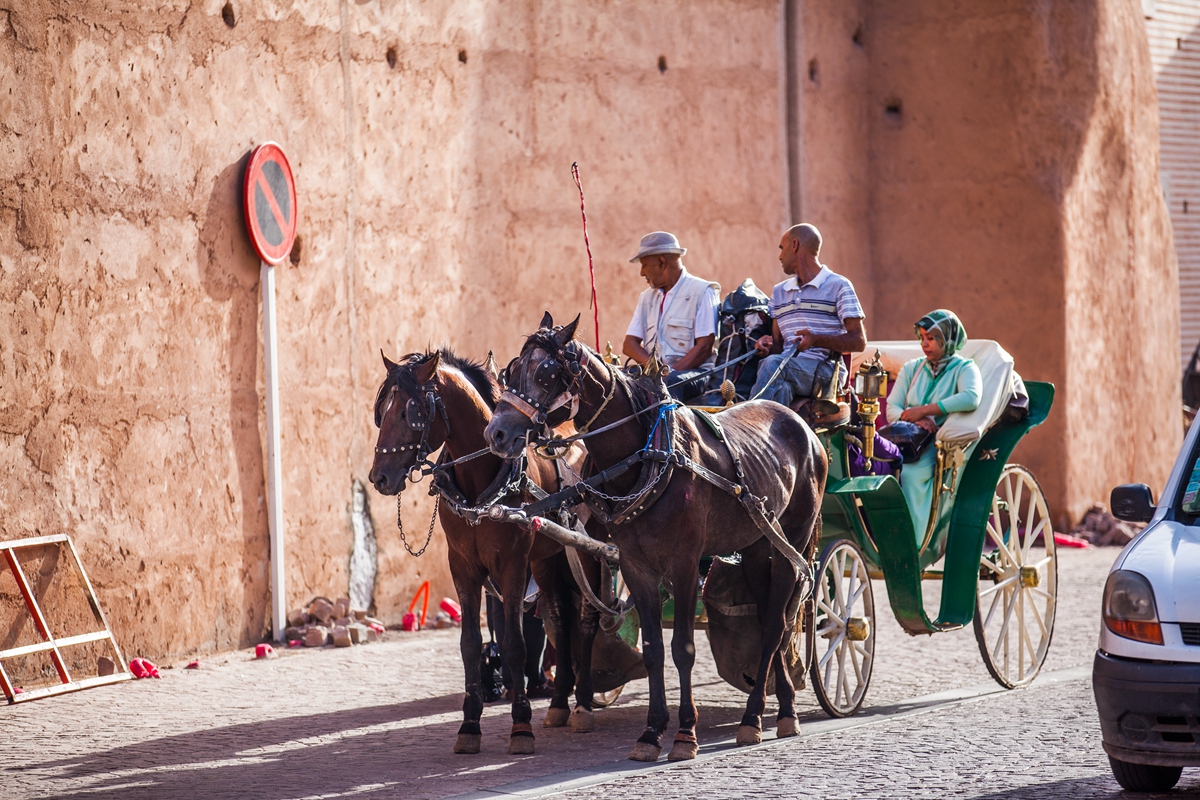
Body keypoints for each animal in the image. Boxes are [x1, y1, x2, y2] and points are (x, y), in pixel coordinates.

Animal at [364, 350, 604, 758]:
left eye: (411, 413)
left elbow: (514, 644)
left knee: (587, 621)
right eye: (382, 411)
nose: (379, 478)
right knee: (560, 619)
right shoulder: (462, 566)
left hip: (584, 553)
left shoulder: (512, 565)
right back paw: (559, 703)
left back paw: (584, 705)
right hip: (548, 559)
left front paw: (521, 726)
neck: (481, 481)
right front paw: (469, 725)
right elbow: (471, 645)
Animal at [482, 314, 830, 762]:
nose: (496, 434)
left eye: (545, 372)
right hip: (756, 542)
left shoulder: (684, 564)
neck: (648, 454)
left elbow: (682, 648)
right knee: (773, 613)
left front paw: (685, 733)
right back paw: (784, 708)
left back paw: (755, 717)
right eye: (510, 372)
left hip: (794, 538)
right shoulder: (636, 564)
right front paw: (651, 732)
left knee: (777, 621)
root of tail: (802, 424)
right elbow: (652, 650)